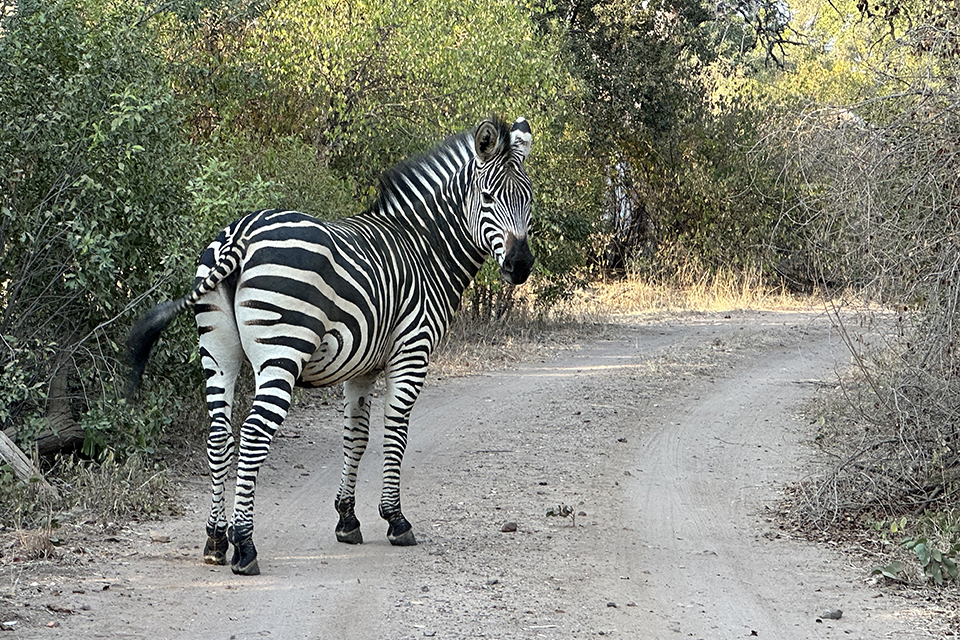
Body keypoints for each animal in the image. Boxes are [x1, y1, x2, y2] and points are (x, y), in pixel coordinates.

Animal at [125, 115, 532, 576]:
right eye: (489, 197)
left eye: (529, 200)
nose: (521, 266)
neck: (424, 249)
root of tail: (242, 235)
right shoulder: (412, 351)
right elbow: (395, 432)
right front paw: (395, 519)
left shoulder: (362, 367)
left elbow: (356, 437)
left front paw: (347, 519)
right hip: (282, 351)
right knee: (252, 435)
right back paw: (244, 545)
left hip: (217, 350)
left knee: (219, 437)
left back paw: (214, 540)